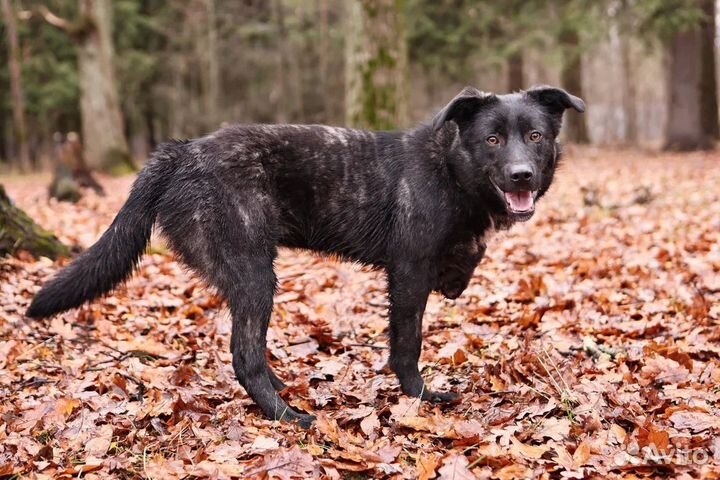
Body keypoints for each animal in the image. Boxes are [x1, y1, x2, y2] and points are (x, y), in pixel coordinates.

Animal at [26, 86, 584, 428]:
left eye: (535, 136)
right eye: (492, 139)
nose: (521, 175)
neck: (452, 170)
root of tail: (181, 151)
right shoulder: (407, 274)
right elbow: (408, 346)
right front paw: (419, 398)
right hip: (256, 275)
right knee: (244, 355)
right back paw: (286, 416)